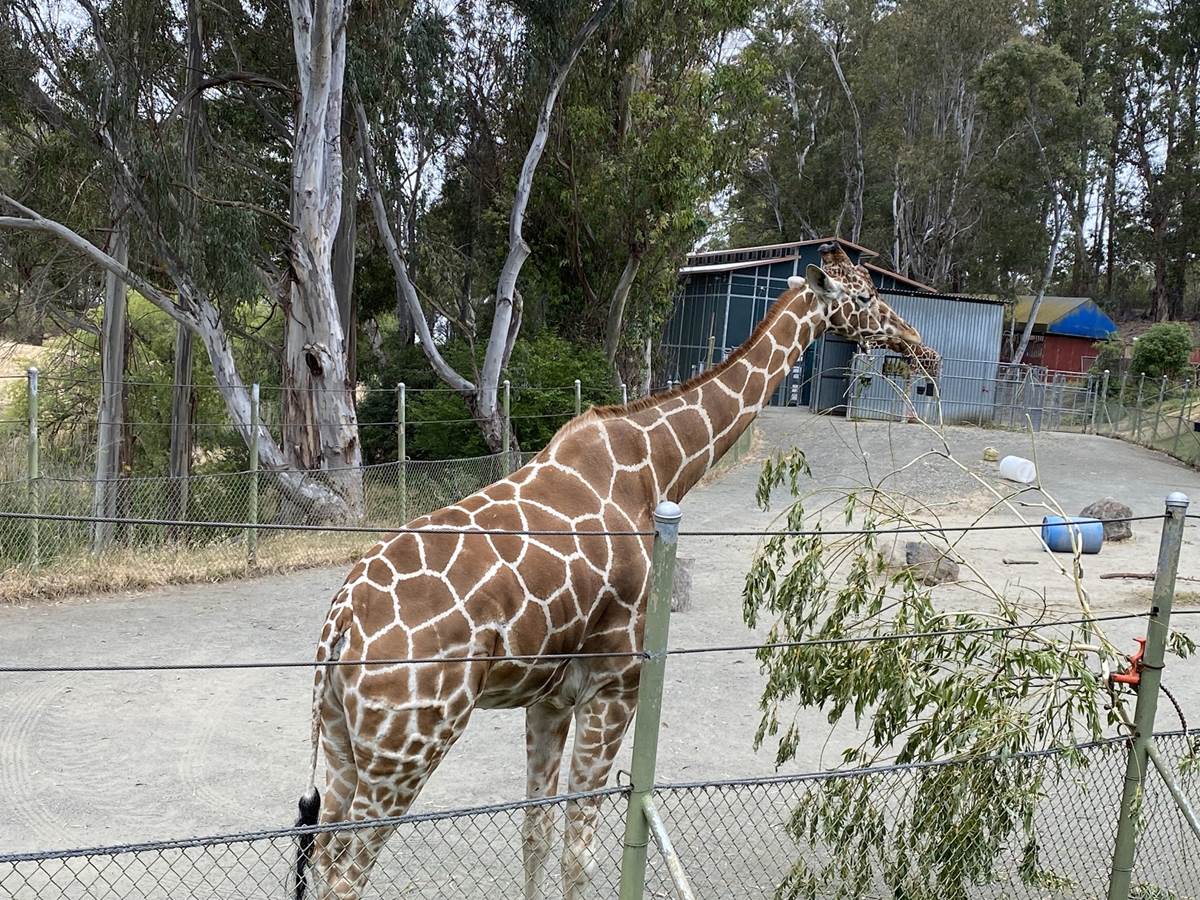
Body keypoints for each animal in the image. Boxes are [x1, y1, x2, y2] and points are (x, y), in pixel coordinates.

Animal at [292, 259, 939, 900]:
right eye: (868, 295)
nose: (921, 349)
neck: (659, 466)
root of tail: (339, 625)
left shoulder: (550, 698)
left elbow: (536, 834)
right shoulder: (617, 683)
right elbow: (579, 853)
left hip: (343, 740)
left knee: (323, 854)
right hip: (408, 745)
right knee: (346, 876)